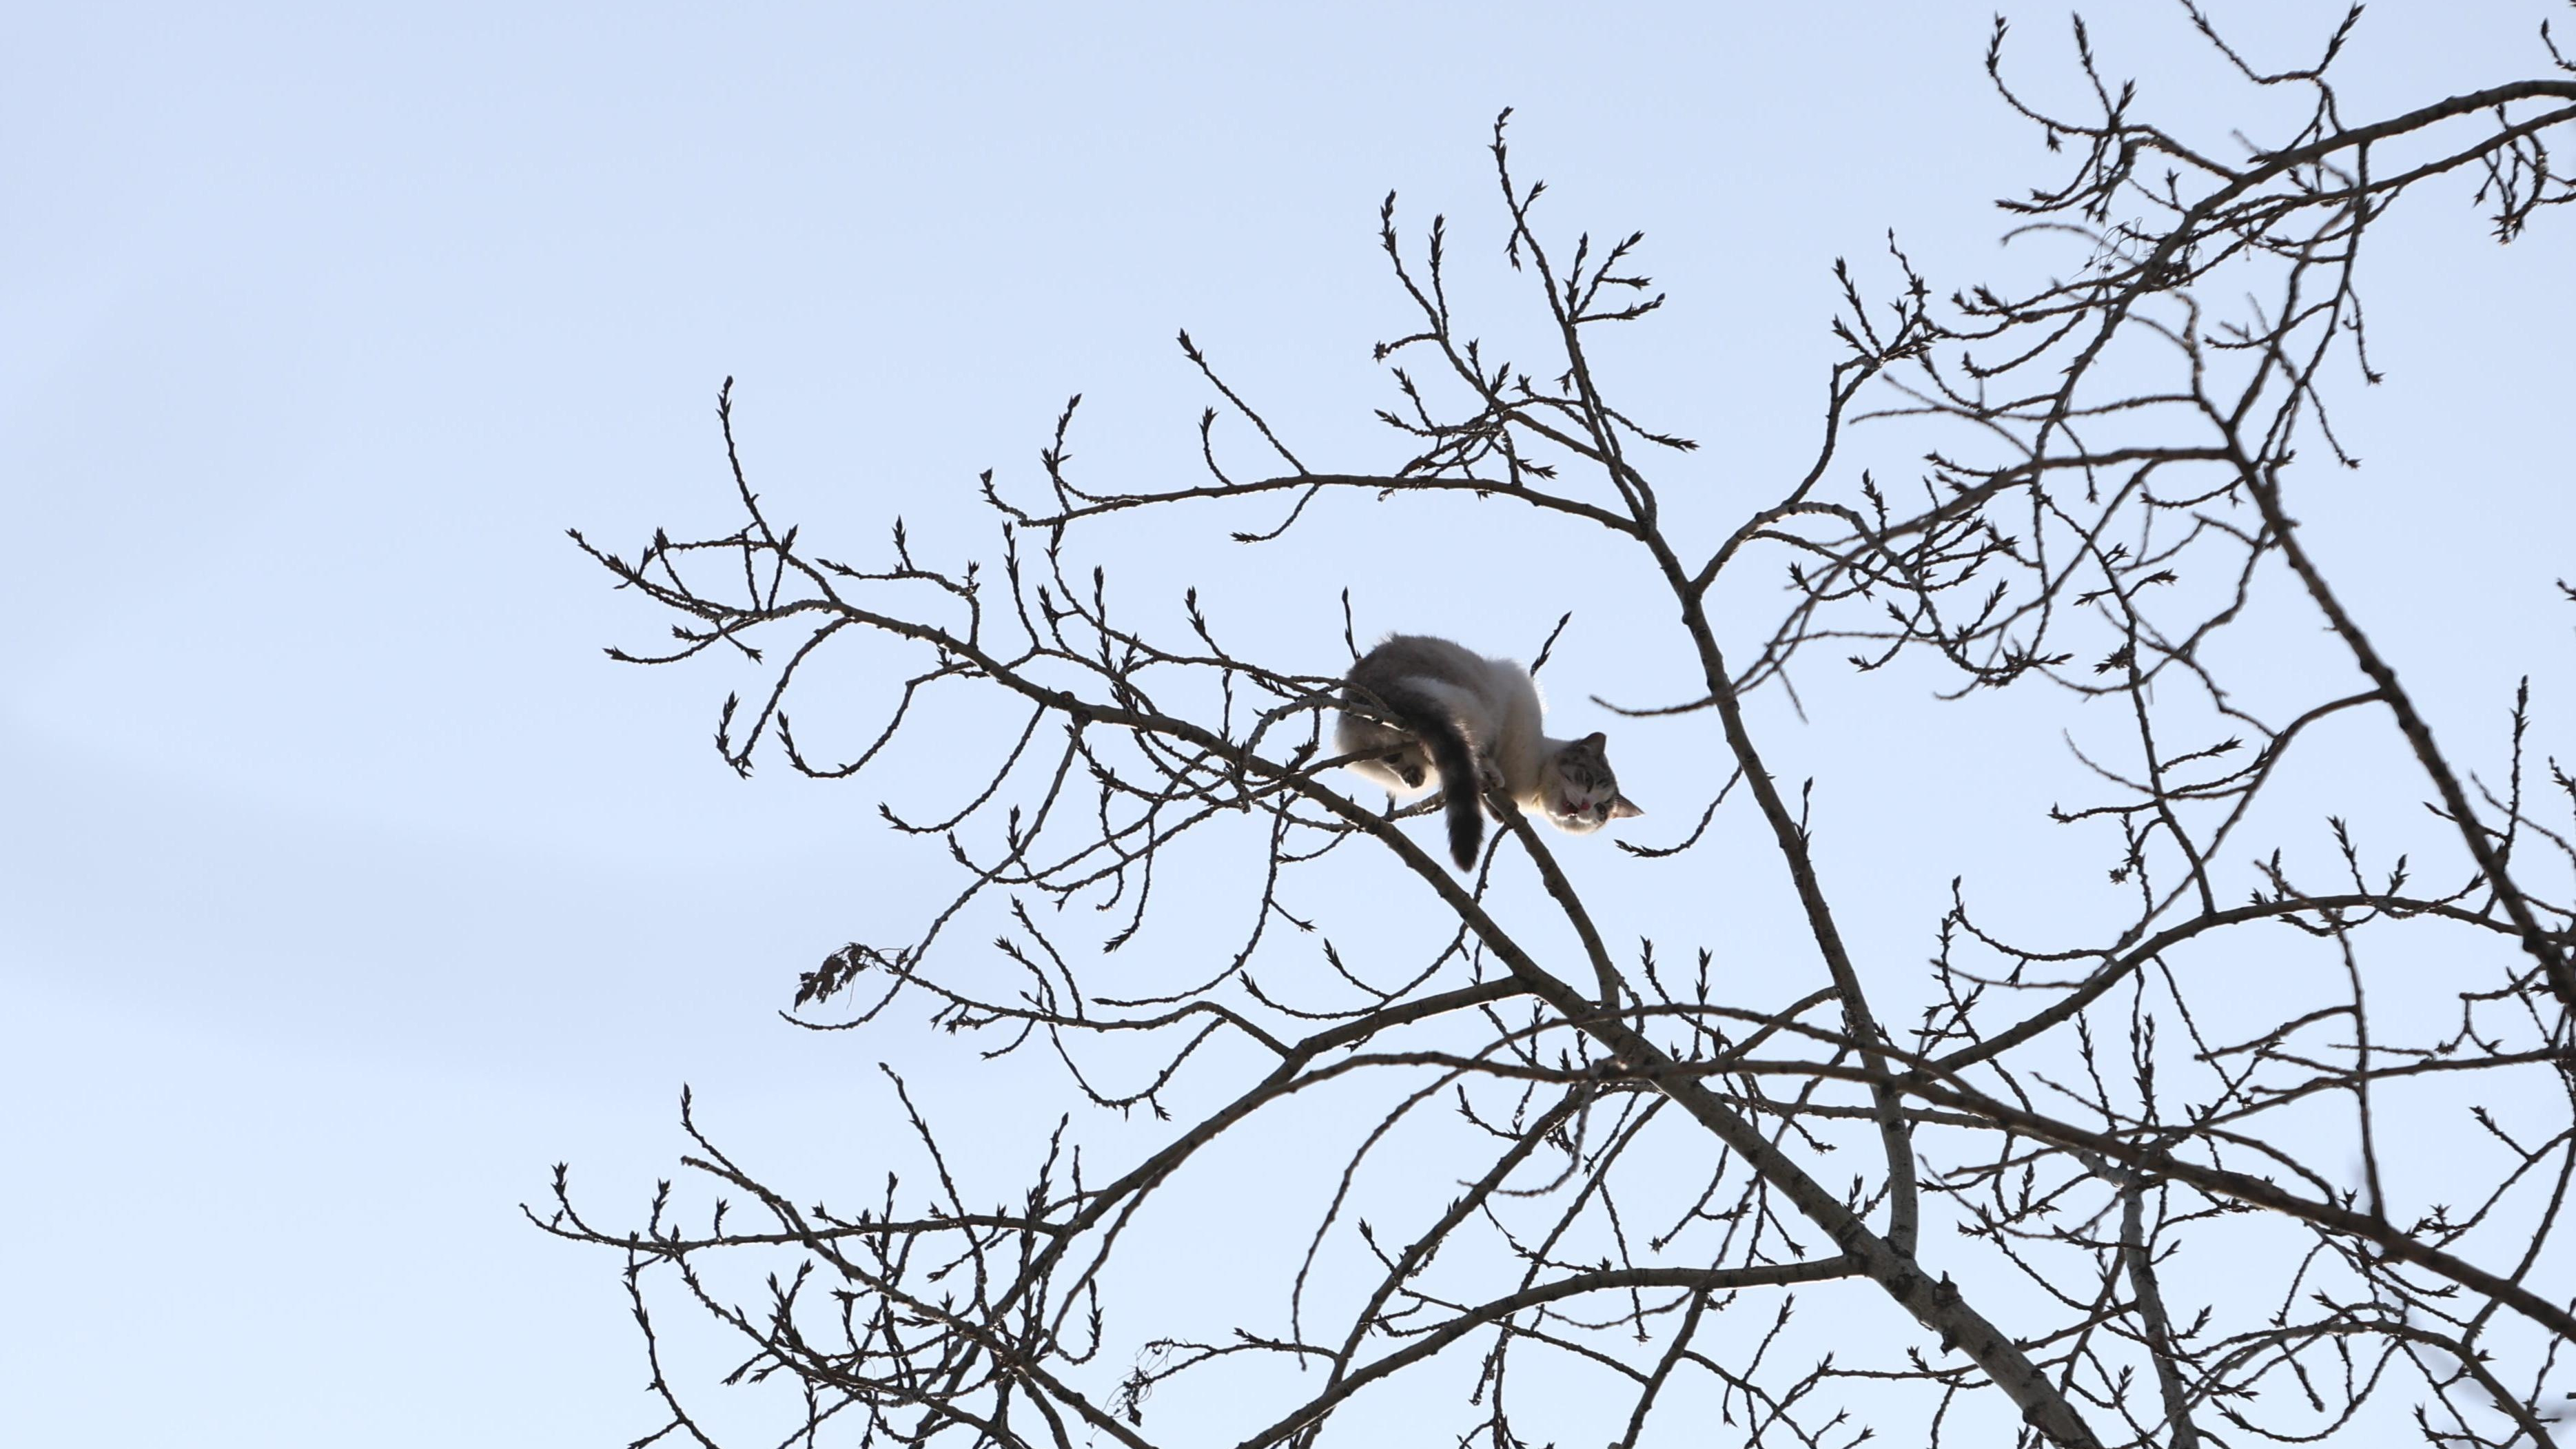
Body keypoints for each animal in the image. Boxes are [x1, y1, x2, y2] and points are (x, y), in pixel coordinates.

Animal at [1339, 630, 1638, 870]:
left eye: (1601, 811)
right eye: (1587, 780)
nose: (1588, 806)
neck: (1532, 791)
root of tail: (1365, 680)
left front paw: (1495, 808)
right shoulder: (1514, 693)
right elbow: (1488, 754)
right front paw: (1492, 777)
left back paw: (1406, 768)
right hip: (1466, 703)